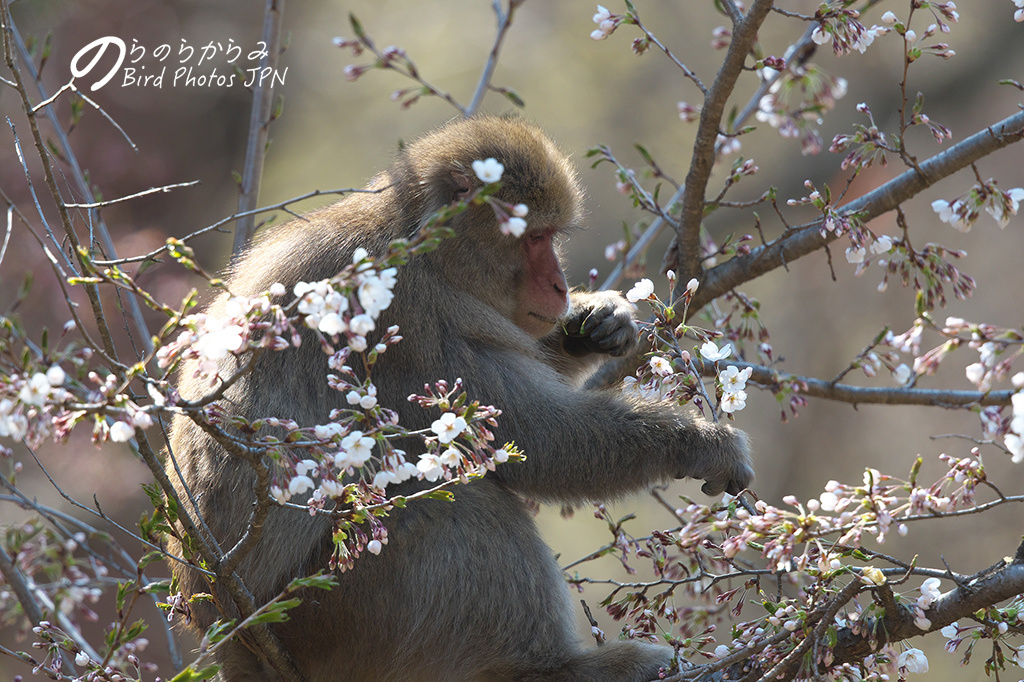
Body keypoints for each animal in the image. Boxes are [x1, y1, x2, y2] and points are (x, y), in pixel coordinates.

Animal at [165, 114, 753, 675]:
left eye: (551, 236)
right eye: (533, 238)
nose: (560, 286)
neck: (425, 248)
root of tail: (227, 632)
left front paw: (598, 322)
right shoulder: (408, 315)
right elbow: (534, 440)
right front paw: (698, 443)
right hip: (334, 613)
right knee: (447, 503)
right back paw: (550, 669)